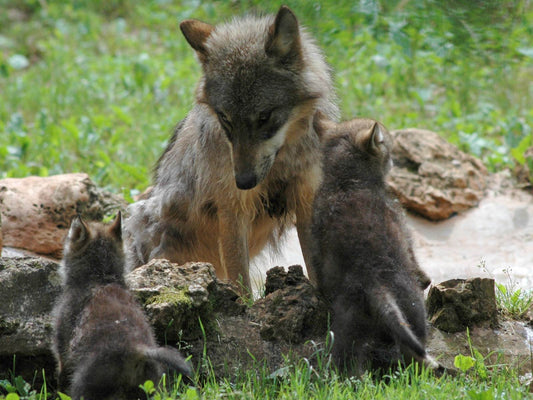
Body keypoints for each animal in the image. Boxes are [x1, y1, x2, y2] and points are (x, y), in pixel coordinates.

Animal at [123, 5, 336, 288]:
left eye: (264, 117)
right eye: (225, 118)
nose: (244, 182)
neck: (281, 162)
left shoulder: (305, 198)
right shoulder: (233, 210)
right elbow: (241, 282)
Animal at [308, 119, 436, 376]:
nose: (394, 161)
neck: (345, 182)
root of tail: (373, 281)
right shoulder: (403, 226)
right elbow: (414, 257)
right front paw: (425, 277)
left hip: (347, 327)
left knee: (345, 365)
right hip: (414, 308)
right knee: (414, 349)